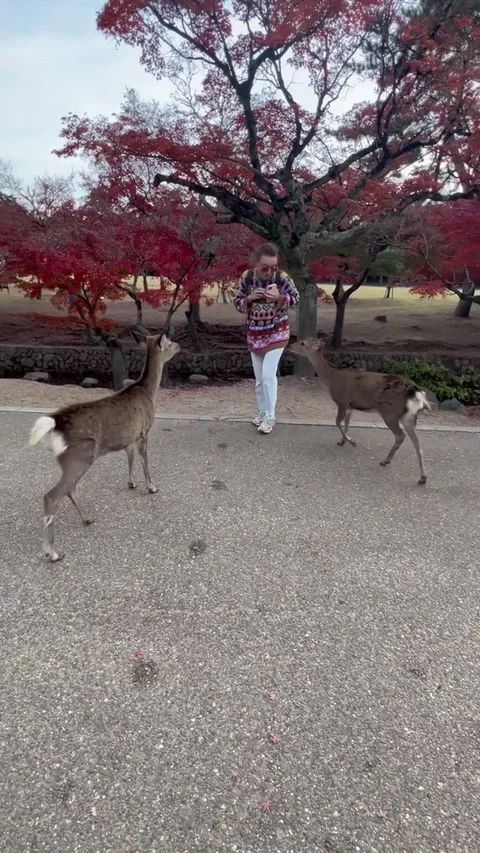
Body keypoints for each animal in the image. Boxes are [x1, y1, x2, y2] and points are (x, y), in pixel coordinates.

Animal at [29, 333, 180, 562]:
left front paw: (131, 482)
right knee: (52, 496)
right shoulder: (144, 430)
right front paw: (151, 486)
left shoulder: (129, 435)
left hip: (73, 461)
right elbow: (144, 458)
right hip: (80, 455)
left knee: (70, 489)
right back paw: (52, 552)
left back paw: (87, 518)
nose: (179, 346)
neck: (148, 392)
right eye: (169, 343)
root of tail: (54, 424)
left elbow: (129, 455)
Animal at [289, 338, 431, 485]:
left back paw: (385, 461)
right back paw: (422, 477)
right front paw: (342, 441)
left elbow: (337, 422)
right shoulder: (350, 406)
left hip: (390, 413)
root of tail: (416, 391)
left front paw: (351, 441)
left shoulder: (342, 401)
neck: (331, 378)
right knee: (417, 441)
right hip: (409, 417)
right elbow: (347, 422)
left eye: (303, 343)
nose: (290, 346)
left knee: (400, 436)